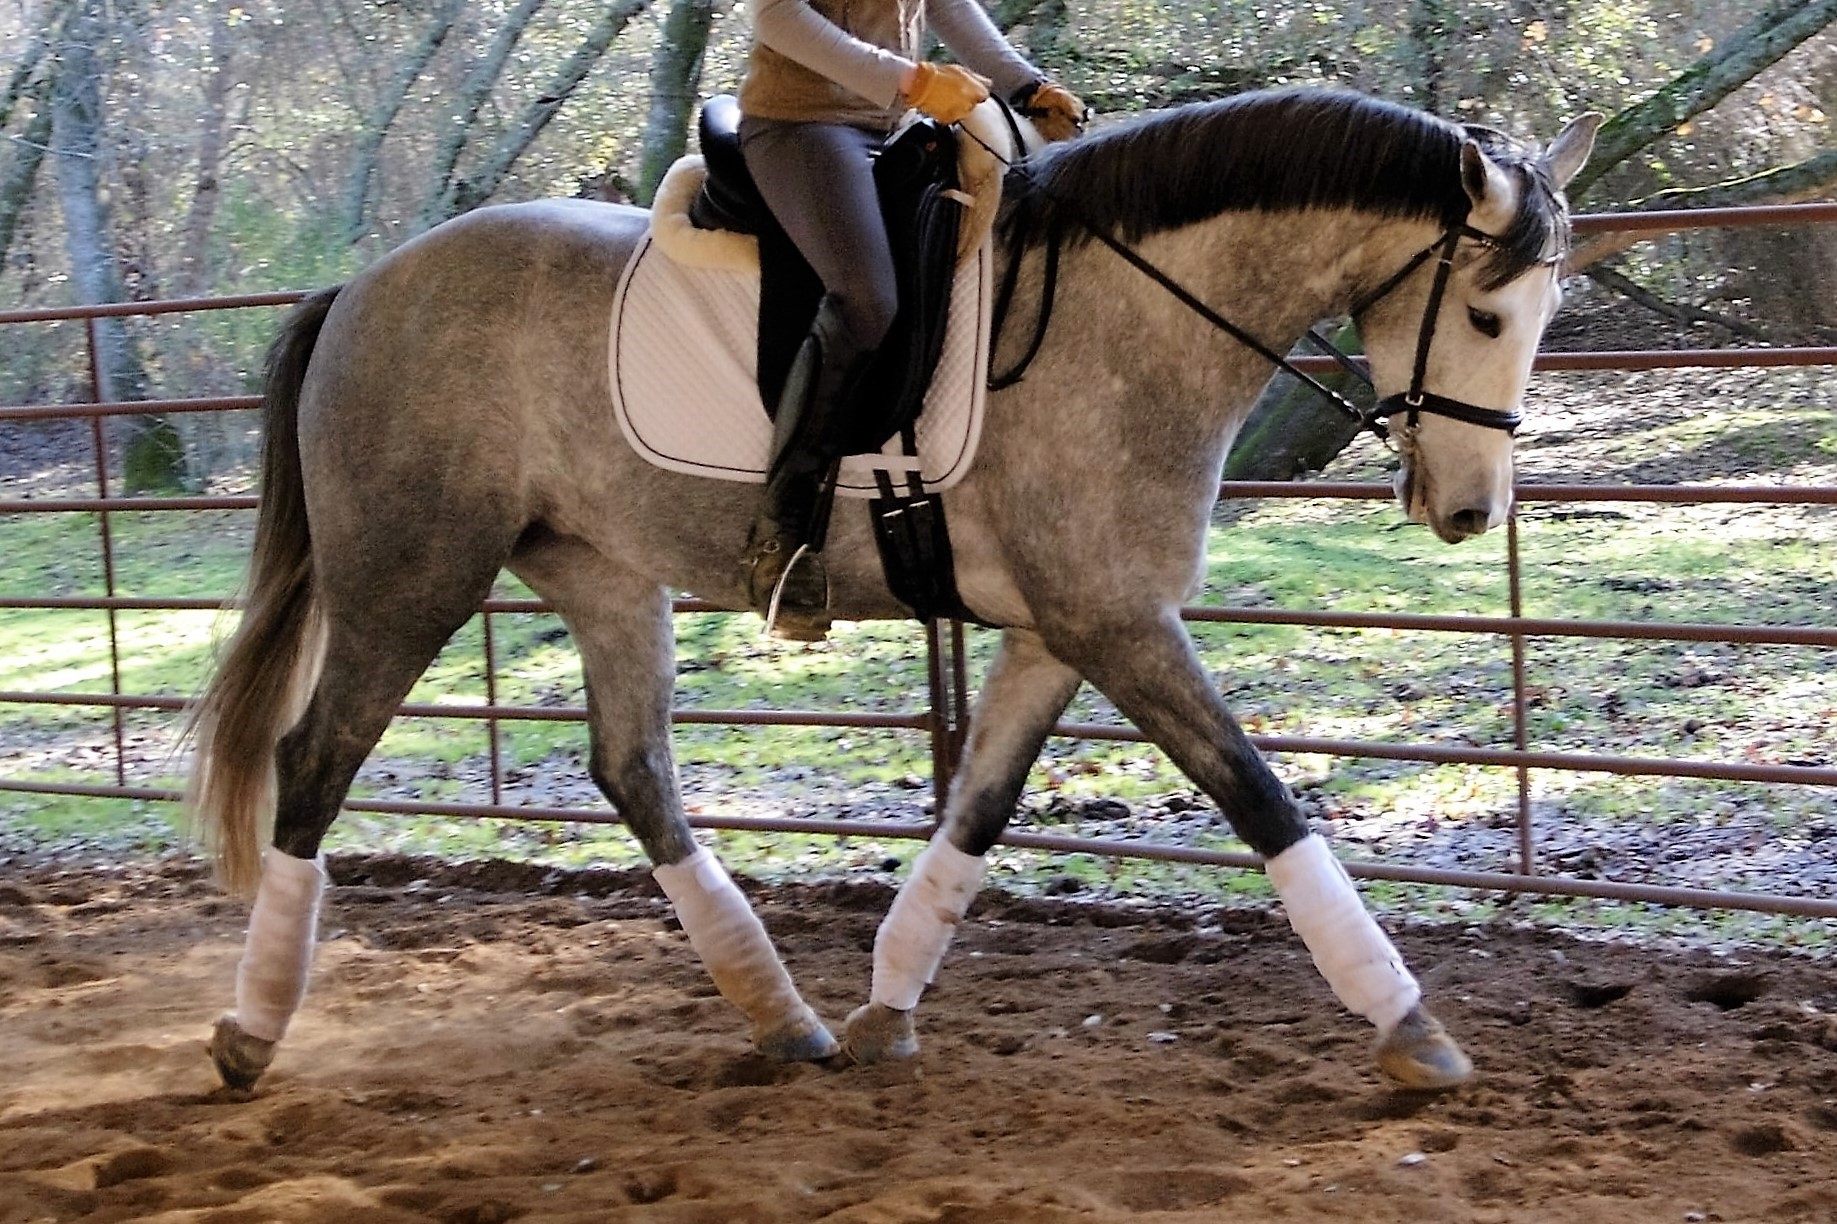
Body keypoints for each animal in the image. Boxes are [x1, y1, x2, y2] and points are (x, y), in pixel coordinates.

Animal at [186, 87, 1598, 1095]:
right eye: (1485, 315)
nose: (1470, 512)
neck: (1130, 317)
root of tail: (365, 288)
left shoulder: (1059, 632)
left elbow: (978, 813)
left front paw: (884, 1009)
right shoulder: (1119, 624)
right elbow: (1262, 801)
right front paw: (1408, 1021)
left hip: (600, 573)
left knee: (633, 771)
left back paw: (784, 1017)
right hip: (410, 573)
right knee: (316, 761)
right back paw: (250, 1031)